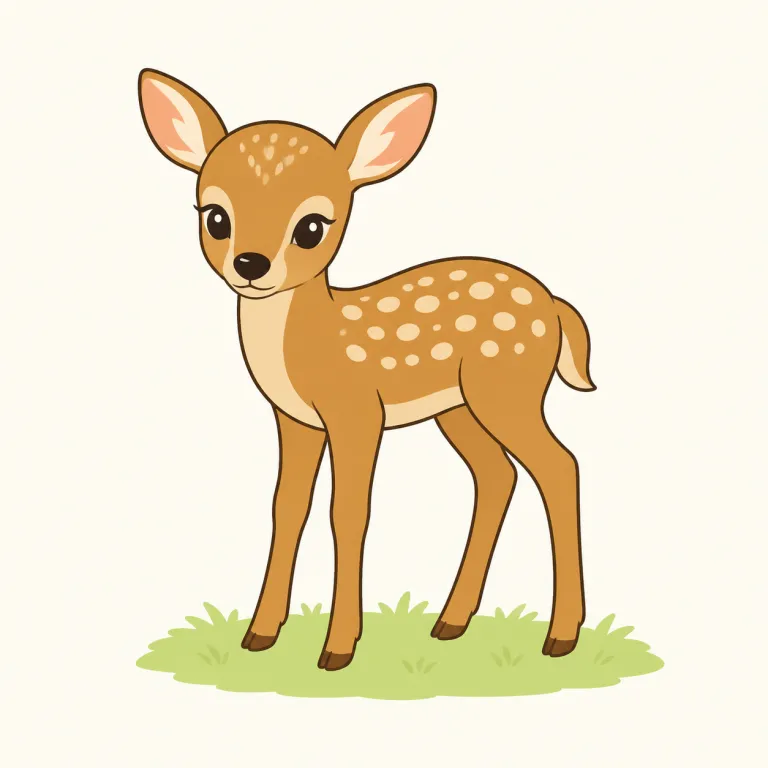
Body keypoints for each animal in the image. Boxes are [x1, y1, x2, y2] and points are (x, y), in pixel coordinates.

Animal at [138, 69, 596, 671]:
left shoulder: (357, 412)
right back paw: (451, 622)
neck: (312, 344)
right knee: (498, 475)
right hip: (458, 408)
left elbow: (349, 512)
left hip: (508, 389)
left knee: (560, 467)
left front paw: (337, 648)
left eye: (312, 226)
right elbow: (288, 507)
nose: (250, 264)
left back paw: (560, 636)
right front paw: (261, 633)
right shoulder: (296, 420)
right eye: (215, 217)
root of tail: (554, 304)